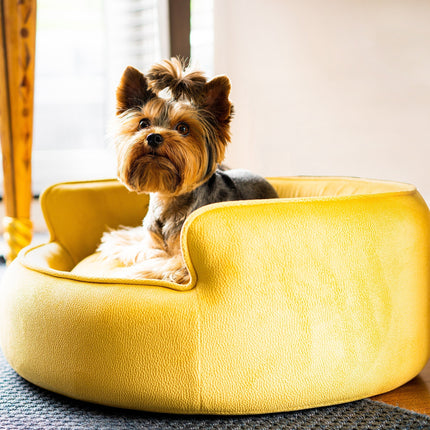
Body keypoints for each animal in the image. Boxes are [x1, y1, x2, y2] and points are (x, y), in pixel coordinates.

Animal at [98, 59, 278, 282]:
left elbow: (158, 263)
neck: (167, 198)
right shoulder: (150, 241)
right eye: (143, 123)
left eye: (183, 128)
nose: (154, 136)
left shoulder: (182, 263)